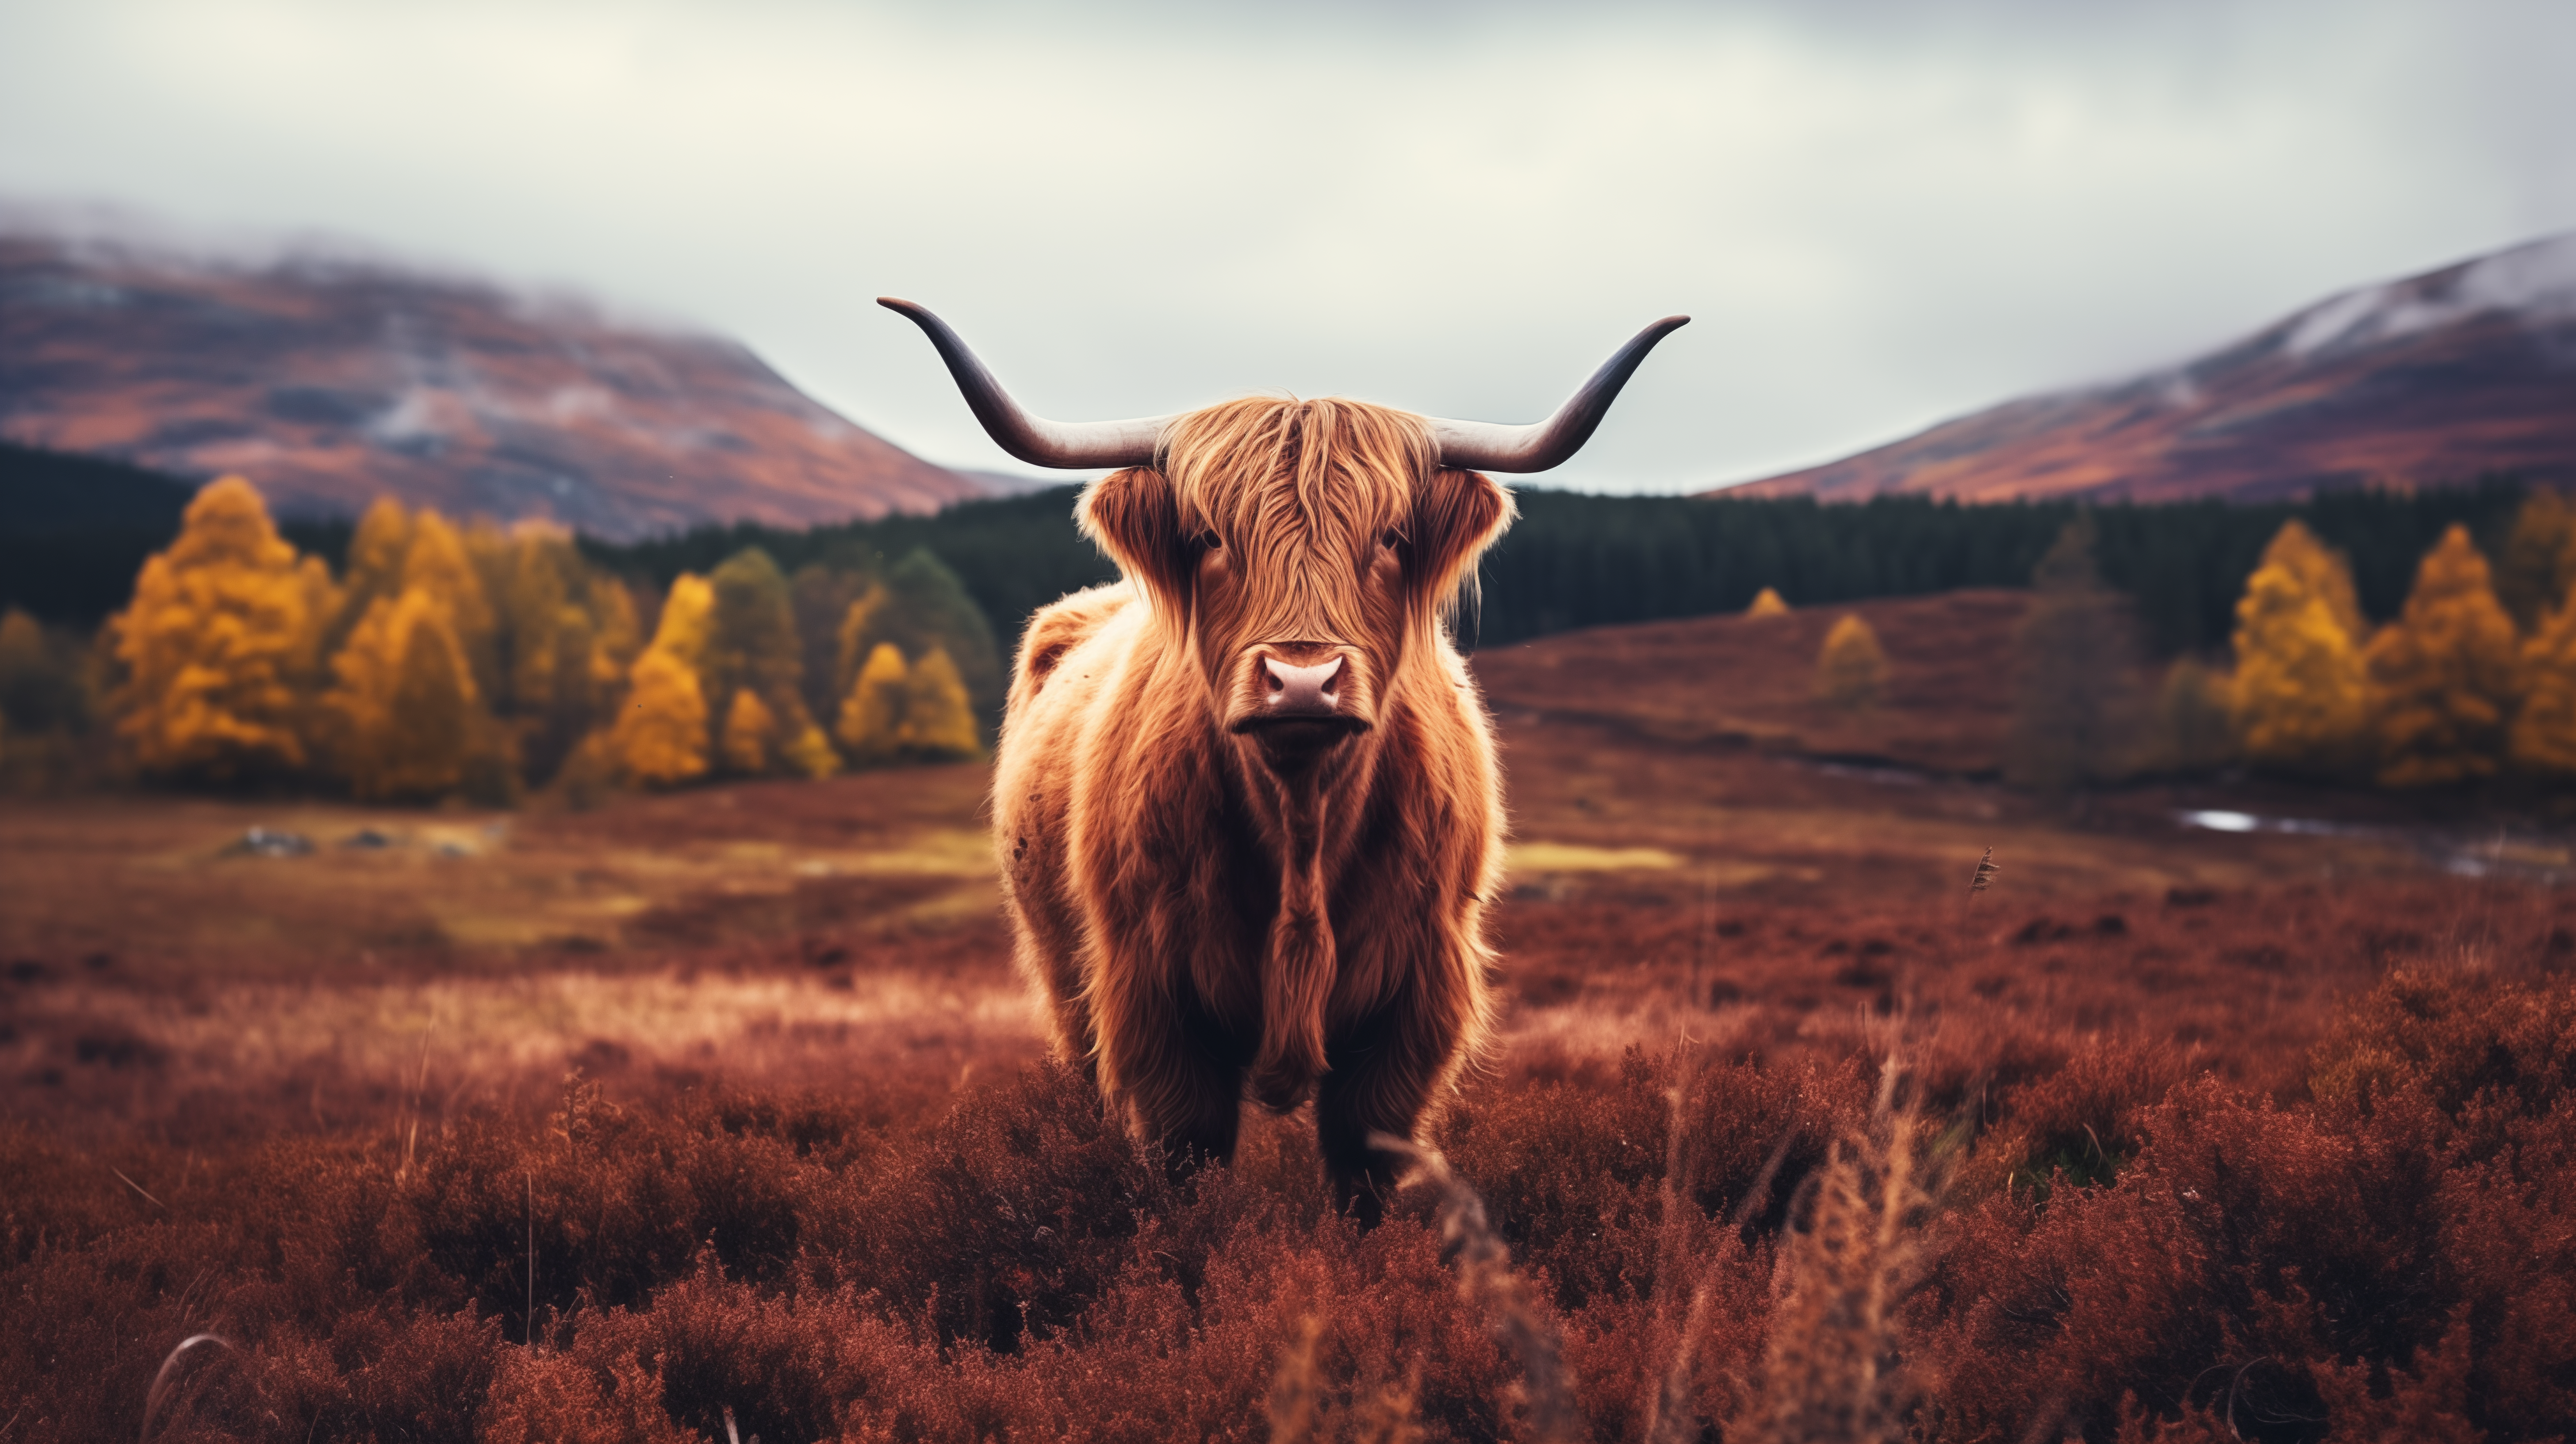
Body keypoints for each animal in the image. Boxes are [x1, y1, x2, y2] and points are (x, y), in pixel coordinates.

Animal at [882, 300, 1686, 1221]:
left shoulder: (1413, 1005)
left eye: (1389, 535)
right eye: (1207, 535)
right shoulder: (1152, 1002)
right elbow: (1186, 1155)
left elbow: (1364, 1163)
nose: (1303, 678)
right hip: (1062, 977)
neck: (1302, 821)